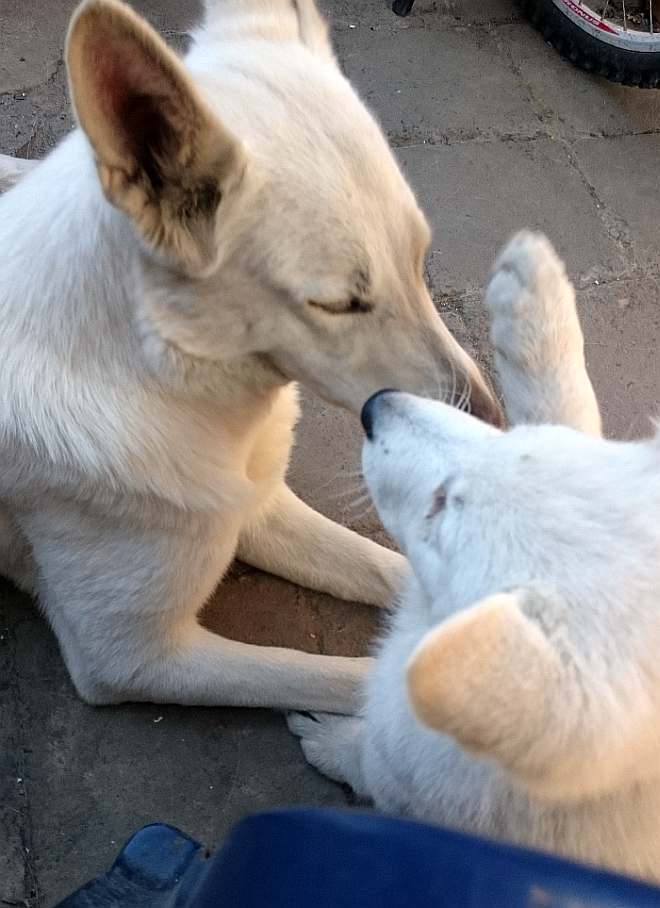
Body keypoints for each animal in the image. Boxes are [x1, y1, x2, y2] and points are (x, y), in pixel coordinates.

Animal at [0, 0, 500, 716]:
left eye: (420, 260)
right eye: (339, 303)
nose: (495, 427)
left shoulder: (259, 508)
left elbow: (386, 563)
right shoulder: (131, 659)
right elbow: (330, 677)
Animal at [288, 232, 660, 880]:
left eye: (440, 508)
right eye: (518, 444)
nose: (375, 405)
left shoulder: (410, 771)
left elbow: (369, 758)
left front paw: (327, 740)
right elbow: (567, 410)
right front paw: (532, 297)